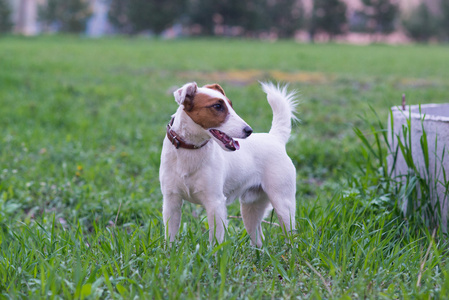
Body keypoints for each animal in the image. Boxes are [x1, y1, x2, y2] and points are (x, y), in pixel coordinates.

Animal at [159, 81, 296, 246]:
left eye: (231, 104)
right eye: (217, 106)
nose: (249, 130)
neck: (191, 149)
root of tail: (275, 138)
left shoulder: (215, 203)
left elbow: (215, 241)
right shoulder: (171, 202)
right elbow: (169, 238)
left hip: (283, 206)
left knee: (292, 236)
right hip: (250, 208)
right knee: (259, 240)